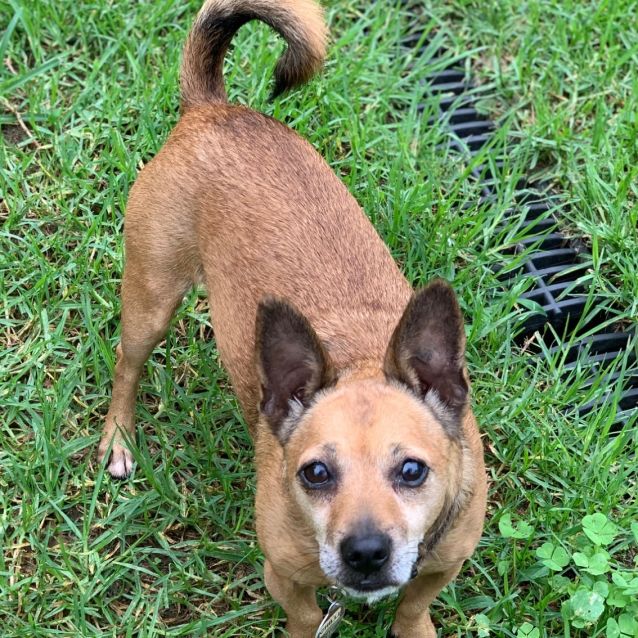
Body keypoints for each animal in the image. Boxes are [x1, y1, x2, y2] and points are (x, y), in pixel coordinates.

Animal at [99, 1, 490, 636]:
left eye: (412, 472)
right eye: (315, 474)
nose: (364, 552)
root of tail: (212, 109)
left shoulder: (442, 564)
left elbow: (414, 602)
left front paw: (413, 627)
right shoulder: (284, 578)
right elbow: (306, 617)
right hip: (151, 299)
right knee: (126, 367)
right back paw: (119, 439)